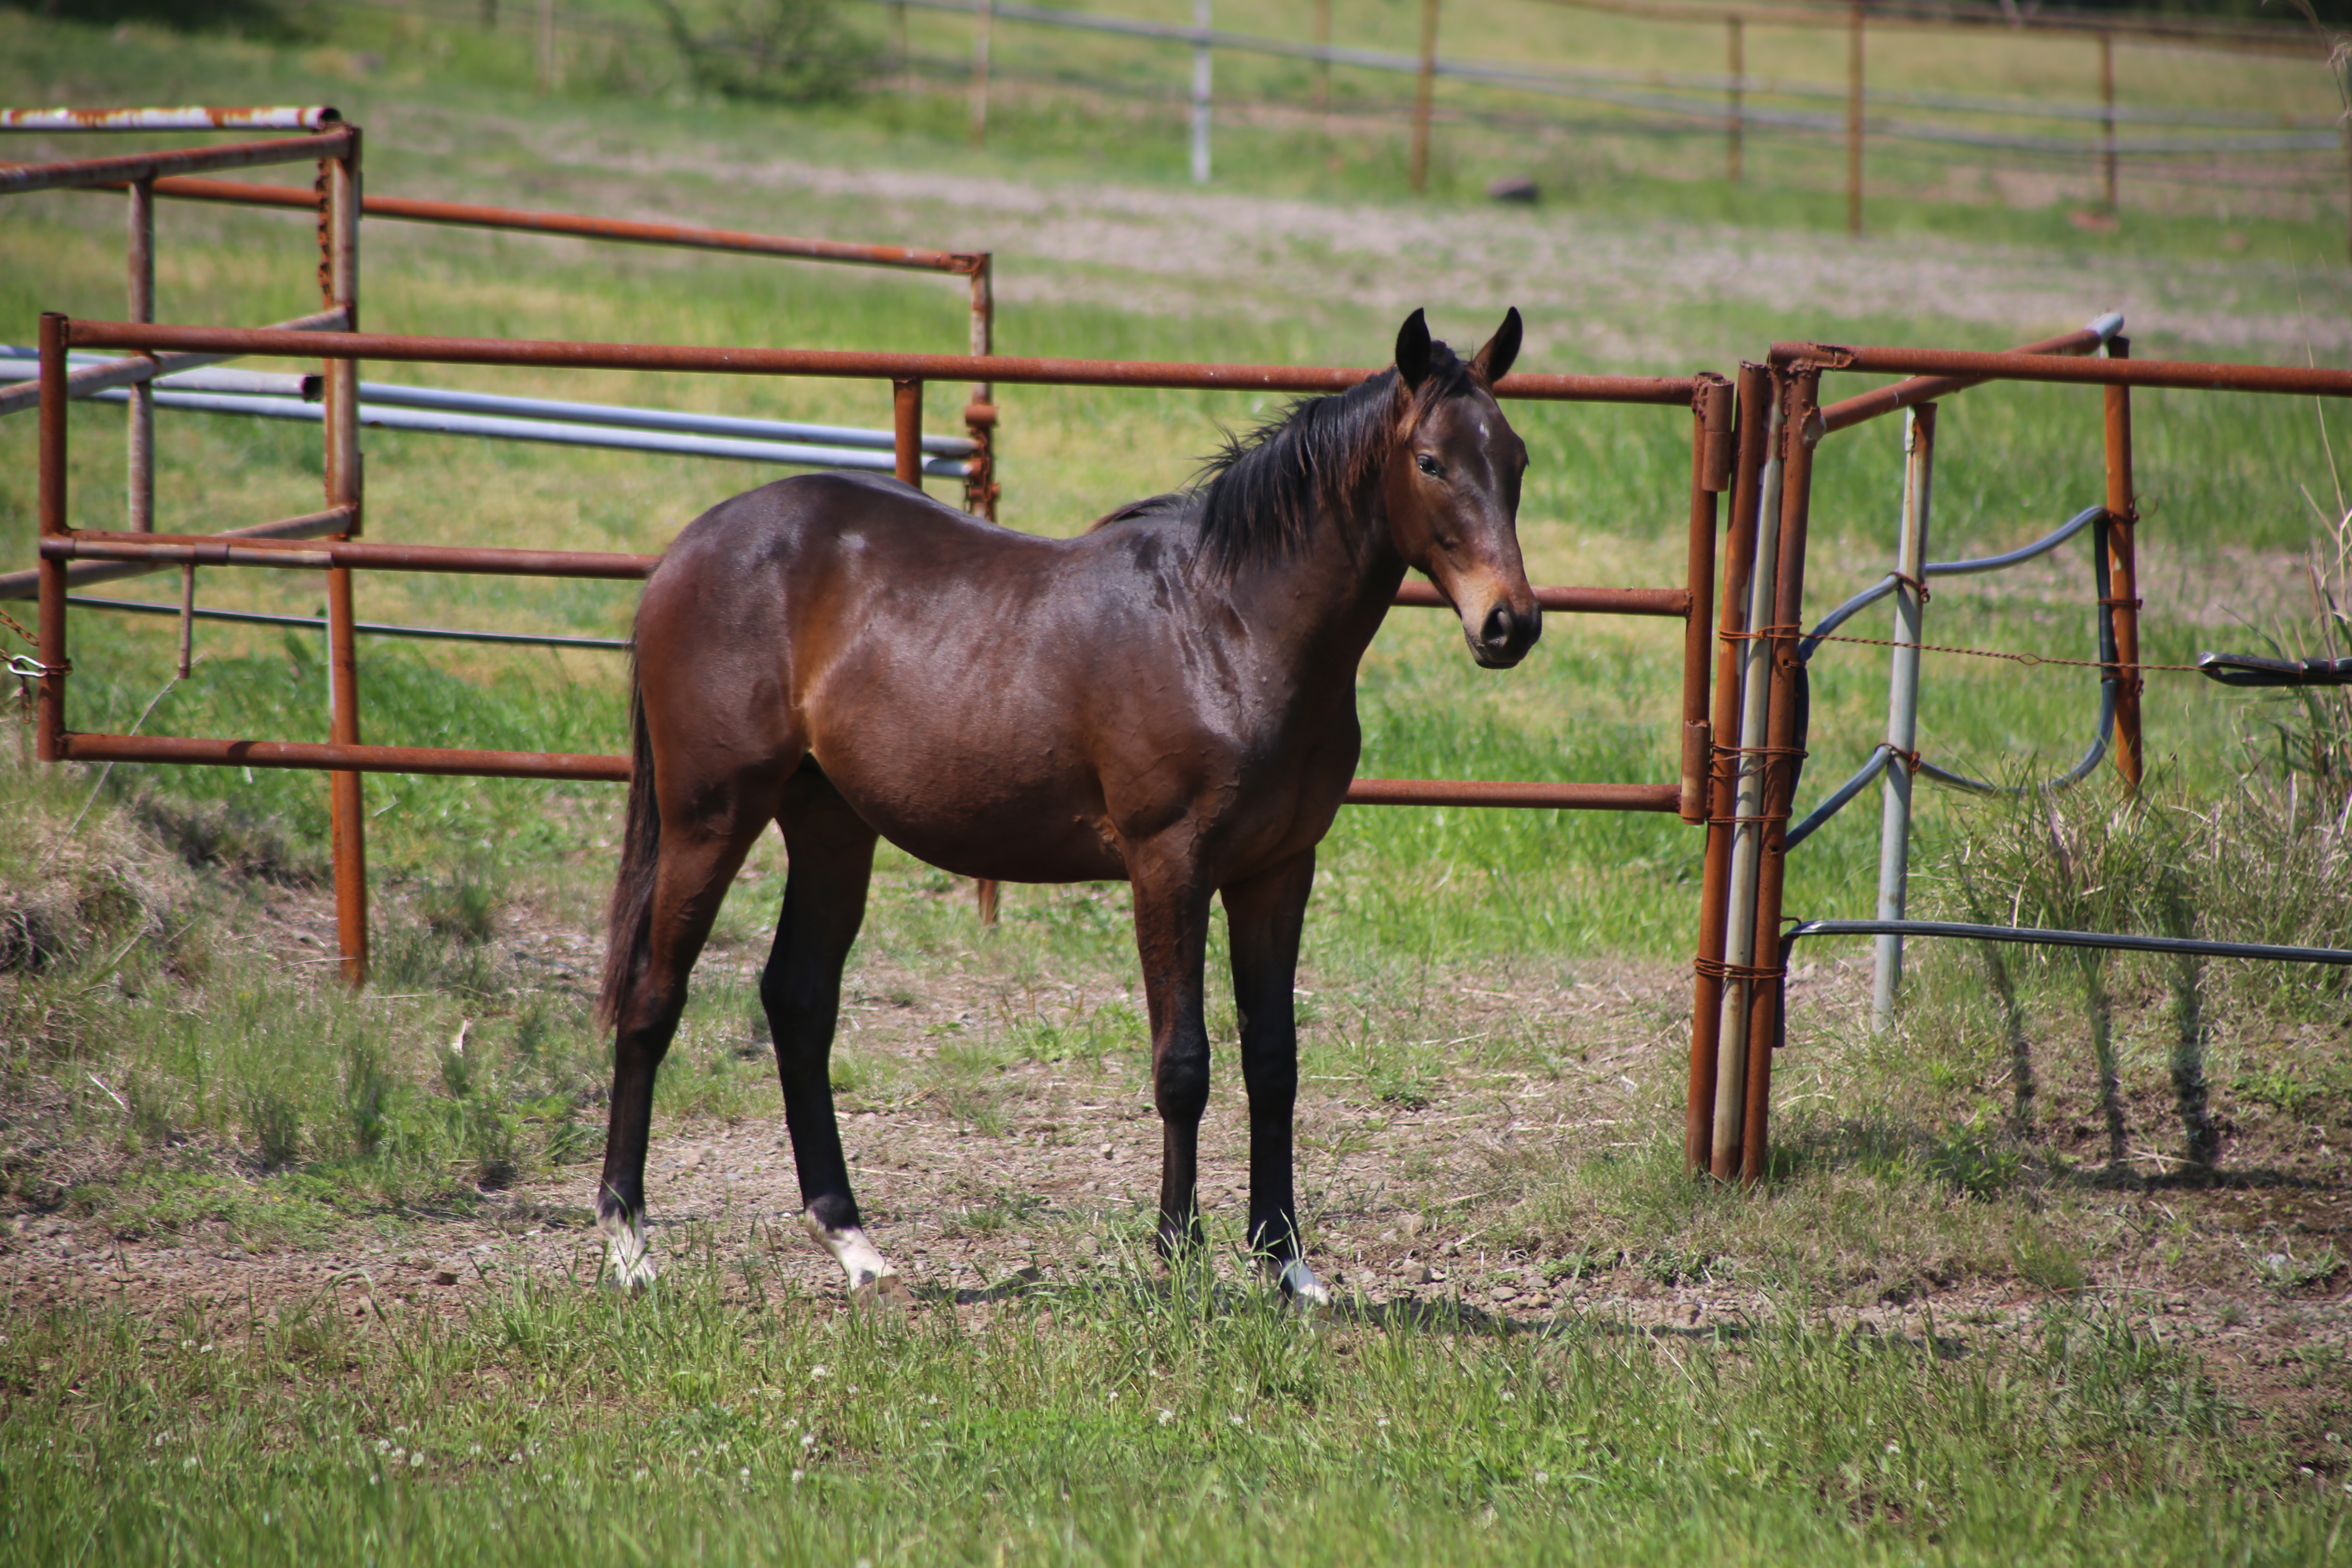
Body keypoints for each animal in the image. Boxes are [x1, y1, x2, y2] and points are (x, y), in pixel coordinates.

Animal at [597, 305, 1533, 1297]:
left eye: (1515, 458)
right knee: (653, 998)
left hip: (830, 825)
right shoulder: (1170, 864)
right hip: (710, 817)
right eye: (1430, 462)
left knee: (799, 1001)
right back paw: (628, 1242)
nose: (1510, 624)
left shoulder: (1279, 871)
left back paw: (852, 1242)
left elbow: (1273, 1061)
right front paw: (1177, 1255)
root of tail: (689, 549)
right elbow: (1184, 1063)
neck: (1228, 626)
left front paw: (1288, 1264)